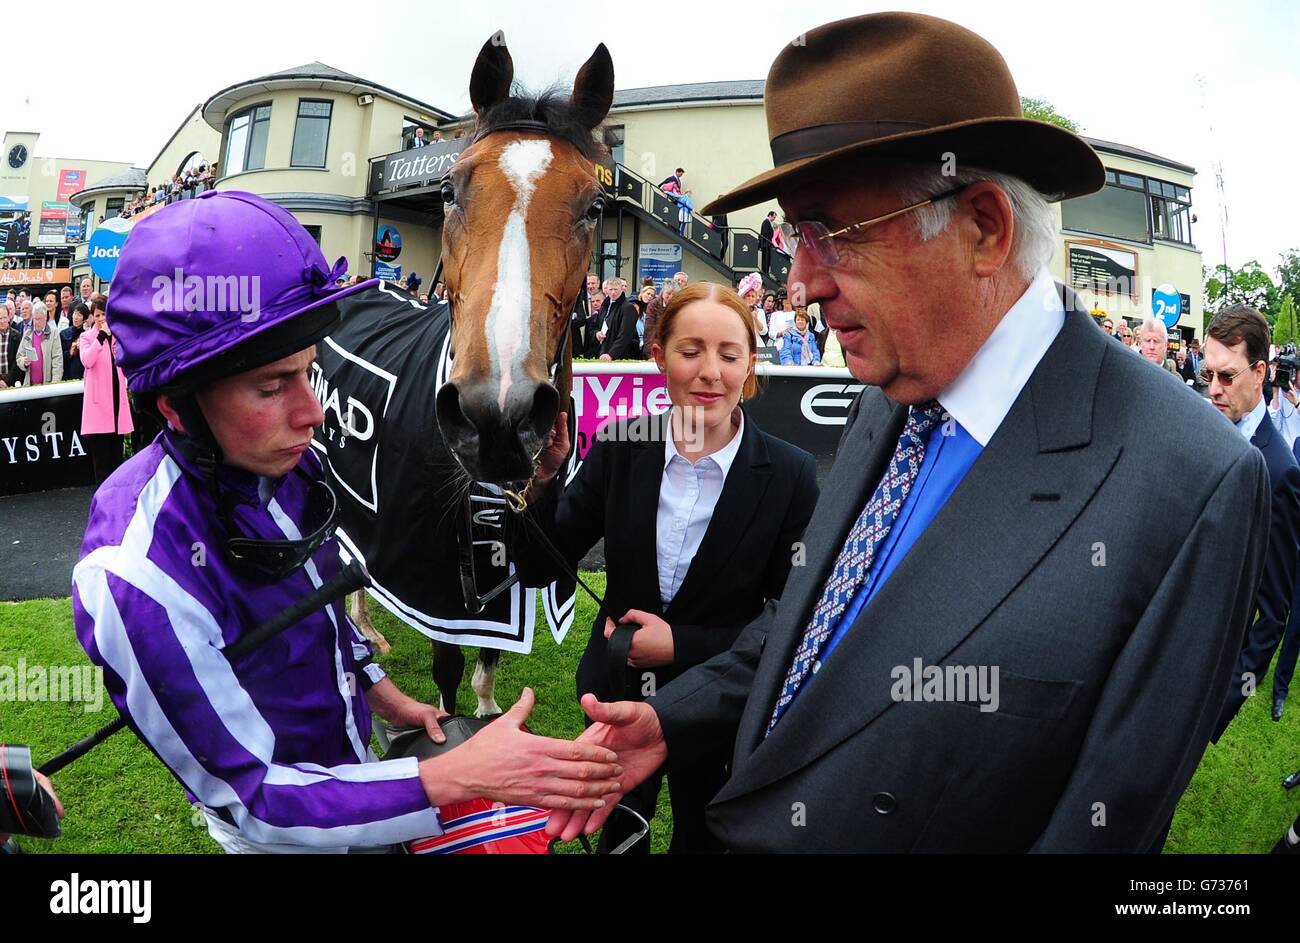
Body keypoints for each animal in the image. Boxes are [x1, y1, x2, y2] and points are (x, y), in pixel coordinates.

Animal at [343, 34, 611, 712]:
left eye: (594, 205)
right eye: (448, 190)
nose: (498, 415)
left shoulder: (512, 559)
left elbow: (490, 655)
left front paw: (490, 710)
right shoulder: (439, 580)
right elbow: (447, 667)